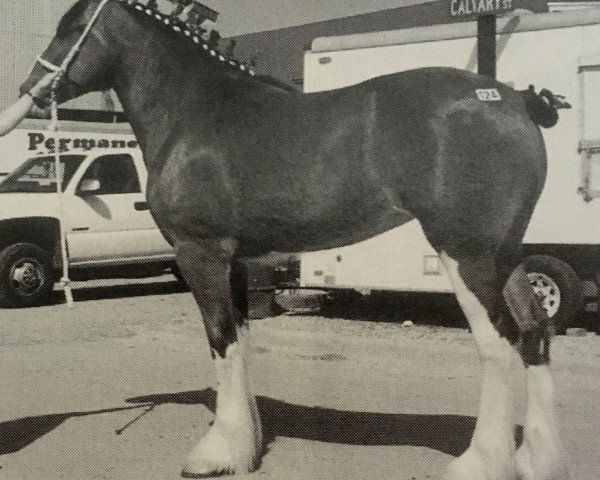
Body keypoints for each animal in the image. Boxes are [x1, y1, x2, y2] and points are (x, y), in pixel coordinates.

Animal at [21, 0, 568, 480]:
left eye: (72, 27)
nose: (30, 88)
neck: (196, 111)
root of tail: (515, 102)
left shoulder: (200, 254)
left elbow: (220, 339)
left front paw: (215, 454)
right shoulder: (237, 261)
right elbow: (241, 341)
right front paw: (246, 445)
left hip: (466, 253)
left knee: (498, 341)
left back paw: (480, 462)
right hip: (505, 254)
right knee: (535, 330)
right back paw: (537, 459)